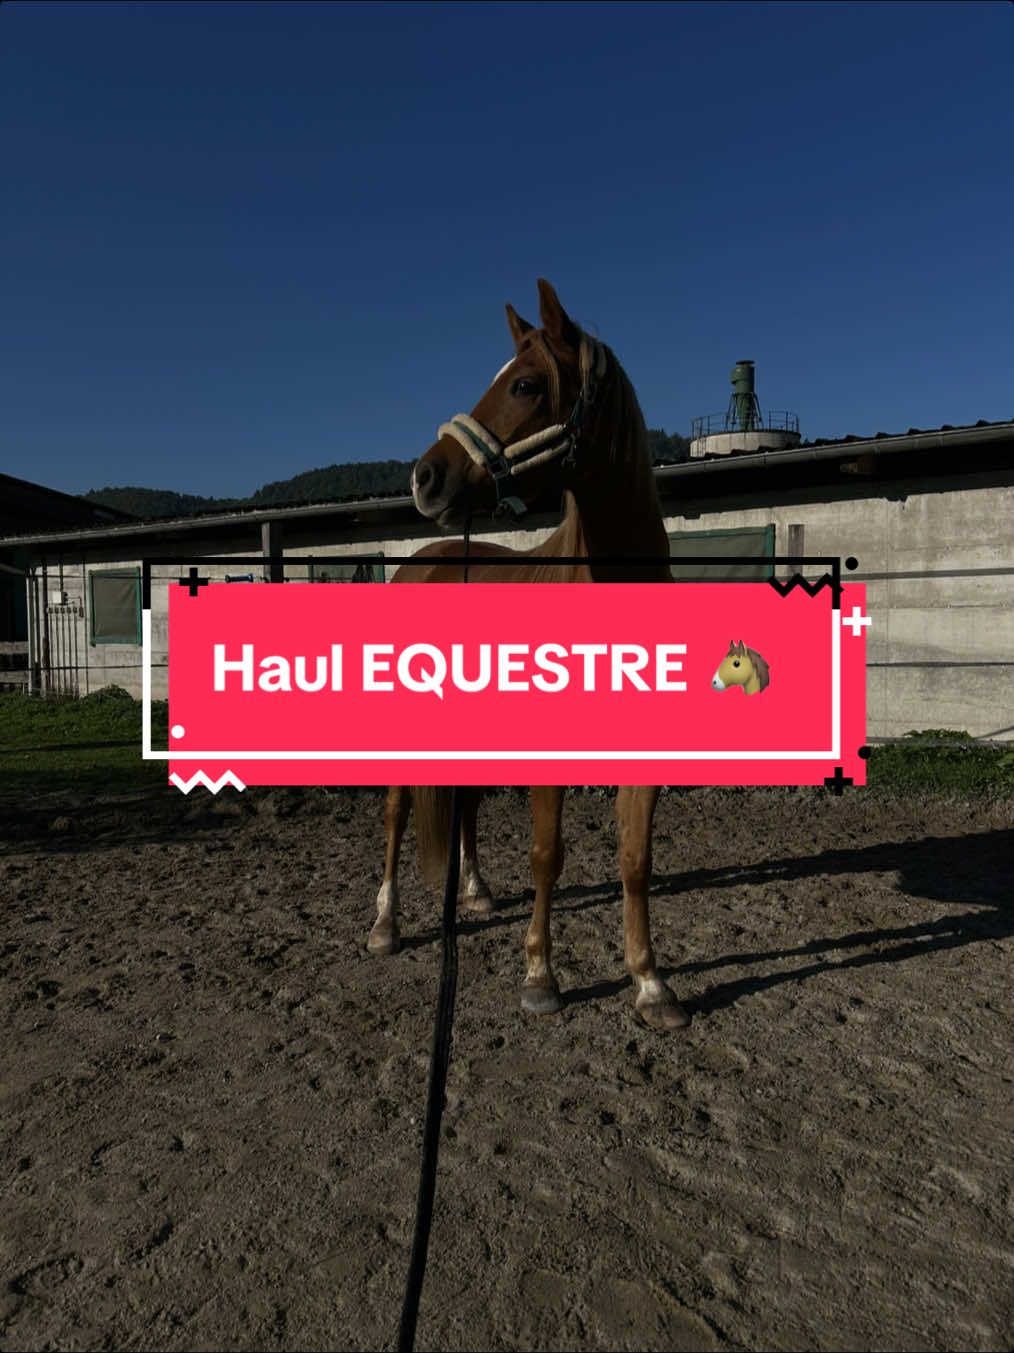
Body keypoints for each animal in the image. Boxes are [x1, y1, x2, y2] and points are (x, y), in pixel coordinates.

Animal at [367, 279, 690, 1032]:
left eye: (523, 384)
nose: (425, 476)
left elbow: (636, 858)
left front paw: (650, 982)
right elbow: (548, 854)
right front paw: (540, 975)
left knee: (466, 806)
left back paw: (477, 890)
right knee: (397, 813)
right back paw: (387, 924)